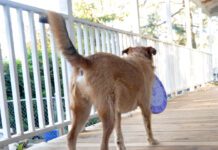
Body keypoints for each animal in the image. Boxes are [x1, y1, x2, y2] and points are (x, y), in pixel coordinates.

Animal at [42, 12, 158, 150]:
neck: (138, 56)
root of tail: (88, 61)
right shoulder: (145, 106)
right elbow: (148, 126)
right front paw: (152, 141)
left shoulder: (117, 112)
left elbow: (119, 134)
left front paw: (121, 146)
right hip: (107, 115)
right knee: (103, 144)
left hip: (83, 110)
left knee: (71, 137)